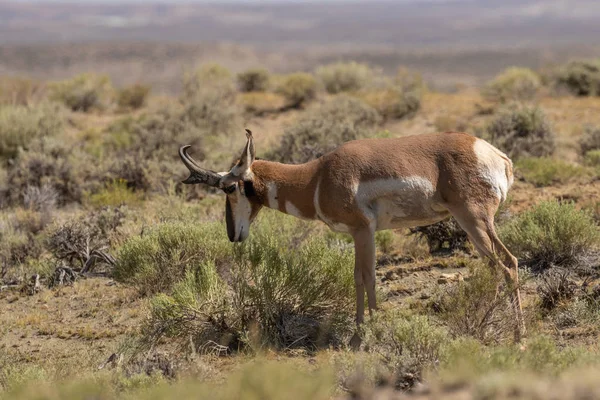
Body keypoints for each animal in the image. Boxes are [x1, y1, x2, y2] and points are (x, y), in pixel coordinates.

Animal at [178, 129, 524, 344]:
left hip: (474, 219)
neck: (317, 176)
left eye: (229, 188)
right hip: (475, 225)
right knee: (498, 266)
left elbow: (366, 277)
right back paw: (486, 324)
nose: (232, 235)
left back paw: (517, 338)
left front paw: (367, 333)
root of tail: (494, 154)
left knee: (508, 264)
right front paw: (362, 331)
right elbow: (360, 276)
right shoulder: (359, 235)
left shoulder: (363, 231)